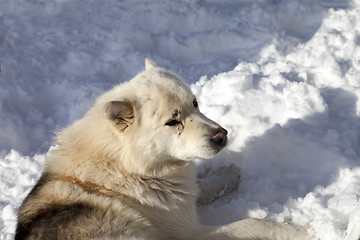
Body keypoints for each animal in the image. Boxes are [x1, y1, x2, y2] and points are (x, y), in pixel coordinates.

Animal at [15, 59, 310, 239]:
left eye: (195, 103)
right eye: (172, 122)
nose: (222, 136)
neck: (126, 170)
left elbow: (202, 186)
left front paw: (226, 175)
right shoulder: (192, 233)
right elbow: (252, 223)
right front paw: (301, 229)